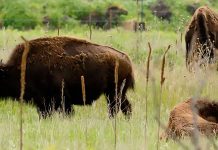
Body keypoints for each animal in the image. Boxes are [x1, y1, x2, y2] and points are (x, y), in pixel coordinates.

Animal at [0, 36, 135, 118]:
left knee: (115, 108)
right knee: (125, 107)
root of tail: (126, 58)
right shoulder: (43, 103)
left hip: (114, 93)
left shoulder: (61, 99)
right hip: (116, 93)